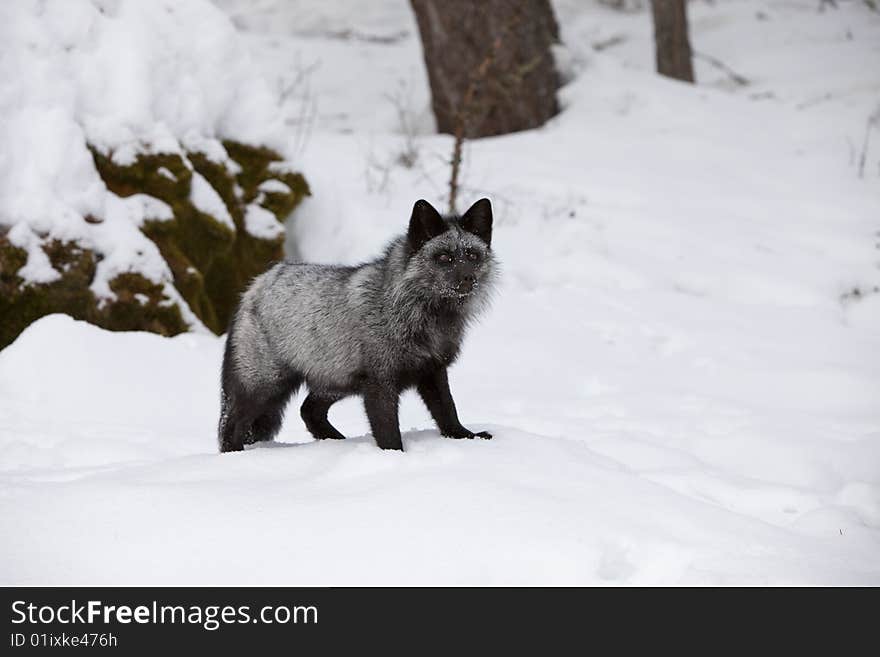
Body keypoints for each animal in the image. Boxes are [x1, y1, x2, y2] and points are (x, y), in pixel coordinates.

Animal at [217, 199, 498, 452]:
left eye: (472, 255)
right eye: (444, 257)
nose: (468, 279)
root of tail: (257, 283)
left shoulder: (433, 370)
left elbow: (448, 410)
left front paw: (465, 437)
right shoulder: (380, 382)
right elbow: (388, 431)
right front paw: (395, 458)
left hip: (336, 378)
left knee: (308, 410)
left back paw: (335, 442)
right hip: (266, 384)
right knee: (229, 424)